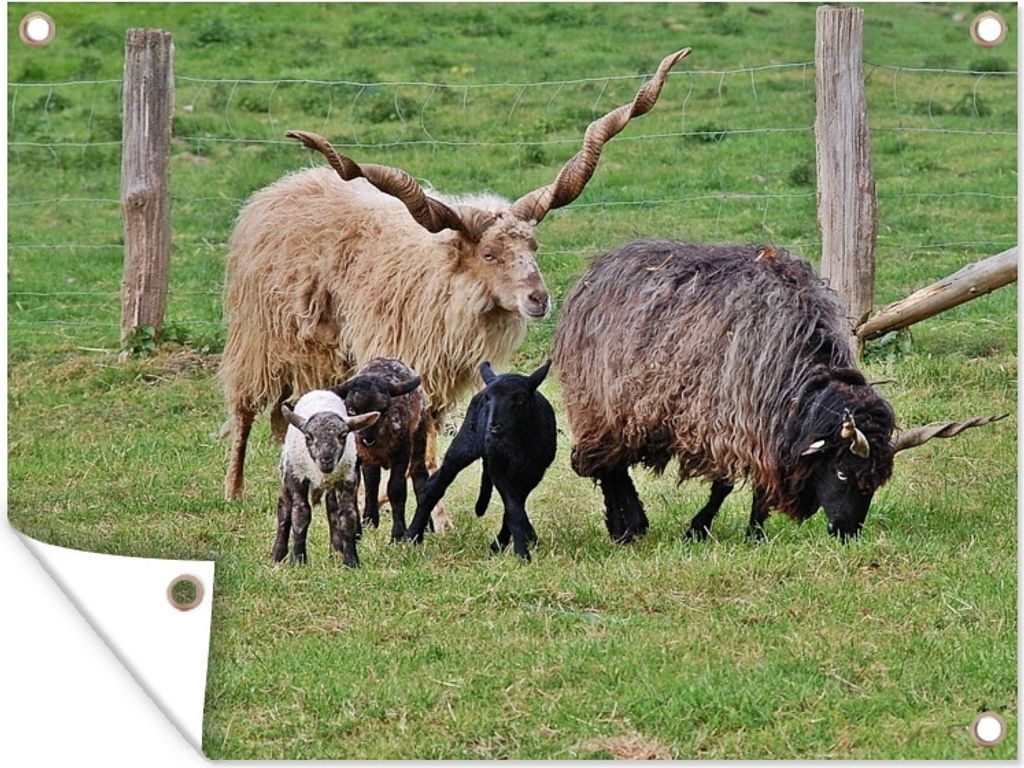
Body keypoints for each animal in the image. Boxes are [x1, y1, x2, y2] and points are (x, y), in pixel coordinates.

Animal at [219, 48, 692, 501]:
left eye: (533, 247)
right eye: (489, 254)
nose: (539, 299)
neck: (442, 277)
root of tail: (278, 190)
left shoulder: (434, 387)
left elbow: (425, 452)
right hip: (259, 338)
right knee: (243, 409)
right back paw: (233, 490)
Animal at [272, 389, 380, 567]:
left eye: (343, 435)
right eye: (308, 436)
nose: (326, 460)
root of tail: (319, 391)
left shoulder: (347, 479)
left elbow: (347, 518)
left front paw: (351, 562)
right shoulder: (297, 477)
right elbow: (300, 515)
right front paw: (298, 560)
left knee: (332, 507)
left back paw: (335, 551)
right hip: (288, 470)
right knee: (284, 506)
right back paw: (277, 554)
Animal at [331, 357, 430, 542]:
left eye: (384, 410)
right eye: (351, 410)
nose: (367, 439)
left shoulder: (401, 455)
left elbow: (396, 490)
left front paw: (398, 535)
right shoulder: (356, 458)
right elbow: (356, 489)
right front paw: (355, 532)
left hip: (419, 438)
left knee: (419, 476)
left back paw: (425, 529)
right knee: (372, 483)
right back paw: (370, 520)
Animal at [406, 360, 556, 561]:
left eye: (520, 399)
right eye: (488, 399)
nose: (493, 427)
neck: (517, 442)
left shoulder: (534, 472)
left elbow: (515, 507)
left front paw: (504, 545)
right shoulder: (497, 467)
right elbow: (514, 509)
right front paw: (522, 554)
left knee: (431, 483)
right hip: (463, 446)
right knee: (436, 486)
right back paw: (411, 536)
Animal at [553, 240, 1006, 542]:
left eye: (877, 482)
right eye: (842, 471)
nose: (846, 534)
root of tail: (598, 267)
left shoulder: (767, 431)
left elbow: (759, 488)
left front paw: (755, 533)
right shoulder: (725, 420)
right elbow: (724, 485)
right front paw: (698, 528)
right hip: (604, 406)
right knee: (606, 467)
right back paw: (626, 527)